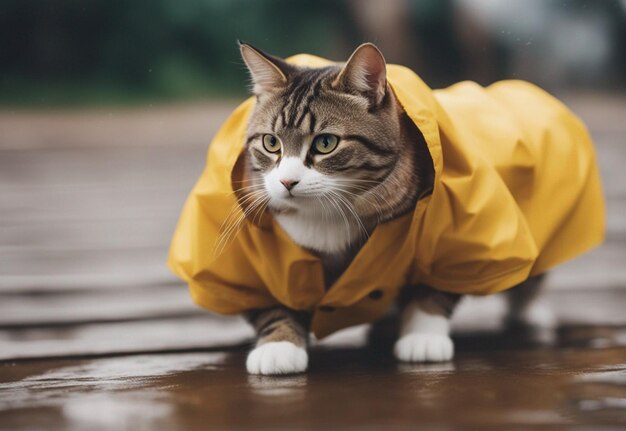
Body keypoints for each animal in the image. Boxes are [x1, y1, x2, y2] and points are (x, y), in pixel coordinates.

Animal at [234, 42, 552, 376]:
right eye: (271, 143)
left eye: (325, 143)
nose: (287, 181)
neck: (325, 212)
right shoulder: (256, 263)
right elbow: (268, 300)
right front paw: (277, 345)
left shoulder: (450, 237)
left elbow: (433, 289)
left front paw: (423, 336)